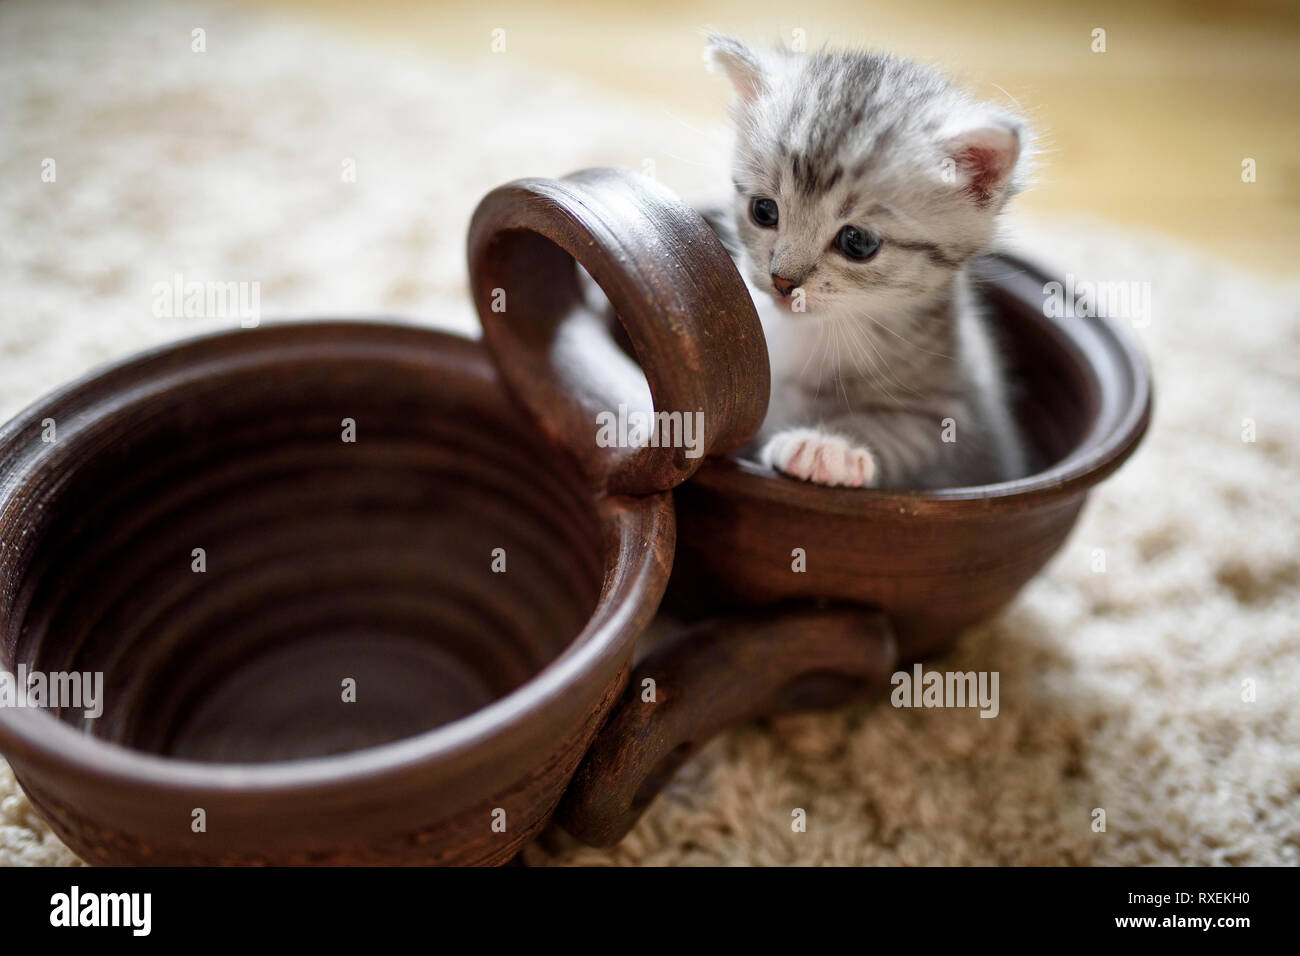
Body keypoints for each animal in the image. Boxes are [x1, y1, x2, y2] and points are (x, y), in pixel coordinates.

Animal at [702, 34, 1034, 489]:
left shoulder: (953, 419)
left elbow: (894, 430)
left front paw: (828, 446)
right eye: (764, 211)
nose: (782, 281)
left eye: (857, 242)